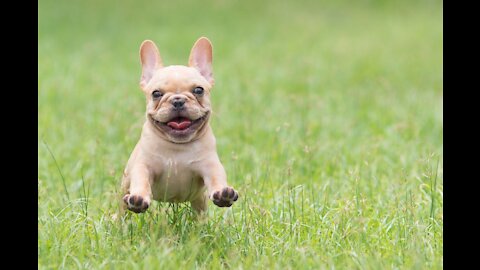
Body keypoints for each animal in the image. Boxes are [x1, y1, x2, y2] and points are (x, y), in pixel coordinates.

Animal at [121, 37, 239, 214]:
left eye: (199, 90)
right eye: (156, 93)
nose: (178, 100)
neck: (177, 148)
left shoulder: (210, 165)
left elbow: (216, 177)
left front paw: (222, 193)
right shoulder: (143, 166)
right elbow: (141, 180)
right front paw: (139, 198)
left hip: (199, 199)